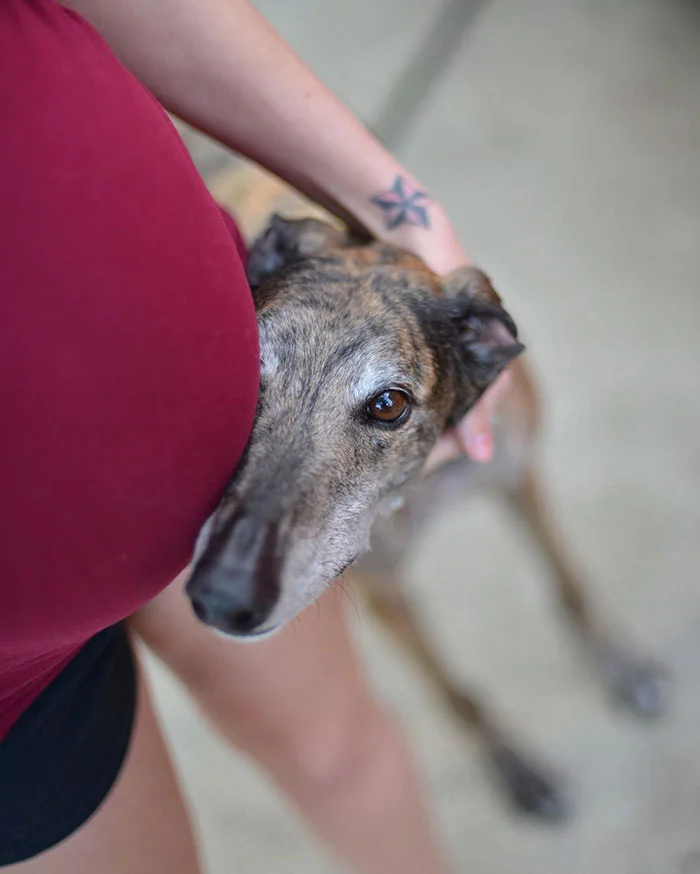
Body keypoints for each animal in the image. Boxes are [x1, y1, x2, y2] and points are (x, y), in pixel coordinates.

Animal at [186, 215, 668, 820]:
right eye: (245, 371)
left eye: (388, 404)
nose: (221, 599)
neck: (421, 485)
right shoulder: (384, 589)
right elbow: (453, 692)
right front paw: (512, 765)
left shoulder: (517, 473)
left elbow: (570, 583)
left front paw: (622, 666)